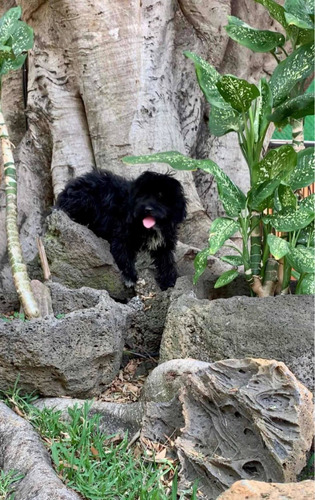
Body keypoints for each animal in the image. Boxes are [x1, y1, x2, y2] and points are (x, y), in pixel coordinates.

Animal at [55, 171, 186, 292]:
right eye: (142, 195)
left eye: (161, 196)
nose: (147, 209)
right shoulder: (122, 235)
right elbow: (123, 254)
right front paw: (130, 277)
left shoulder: (164, 243)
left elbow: (166, 260)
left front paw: (168, 281)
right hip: (84, 199)